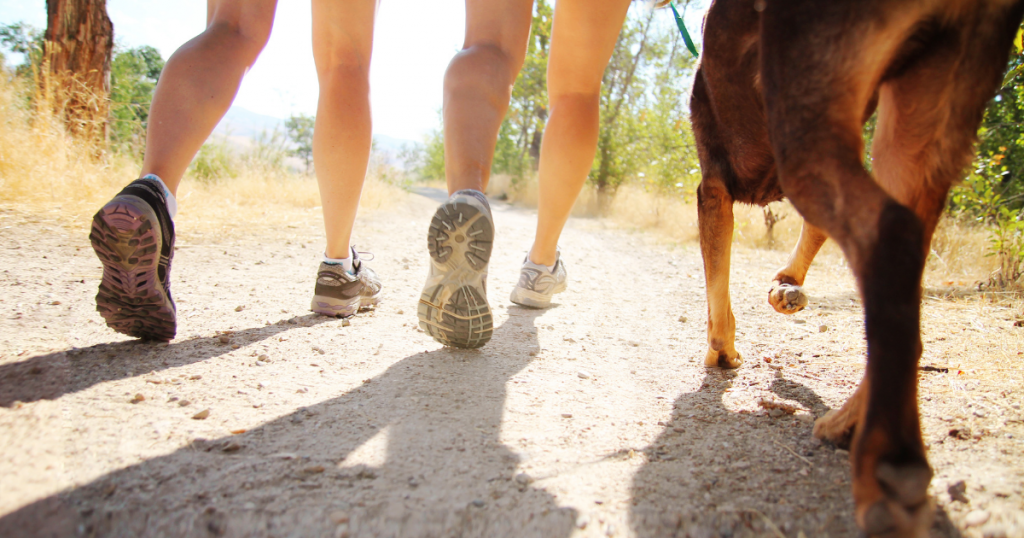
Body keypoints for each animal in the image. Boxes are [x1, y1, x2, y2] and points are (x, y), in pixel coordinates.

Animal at [692, 1, 1019, 532]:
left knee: (889, 235)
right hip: (918, 122)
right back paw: (848, 424)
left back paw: (889, 464)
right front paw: (786, 288)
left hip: (809, 122)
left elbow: (718, 292)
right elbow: (809, 235)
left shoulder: (714, 188)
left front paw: (722, 352)